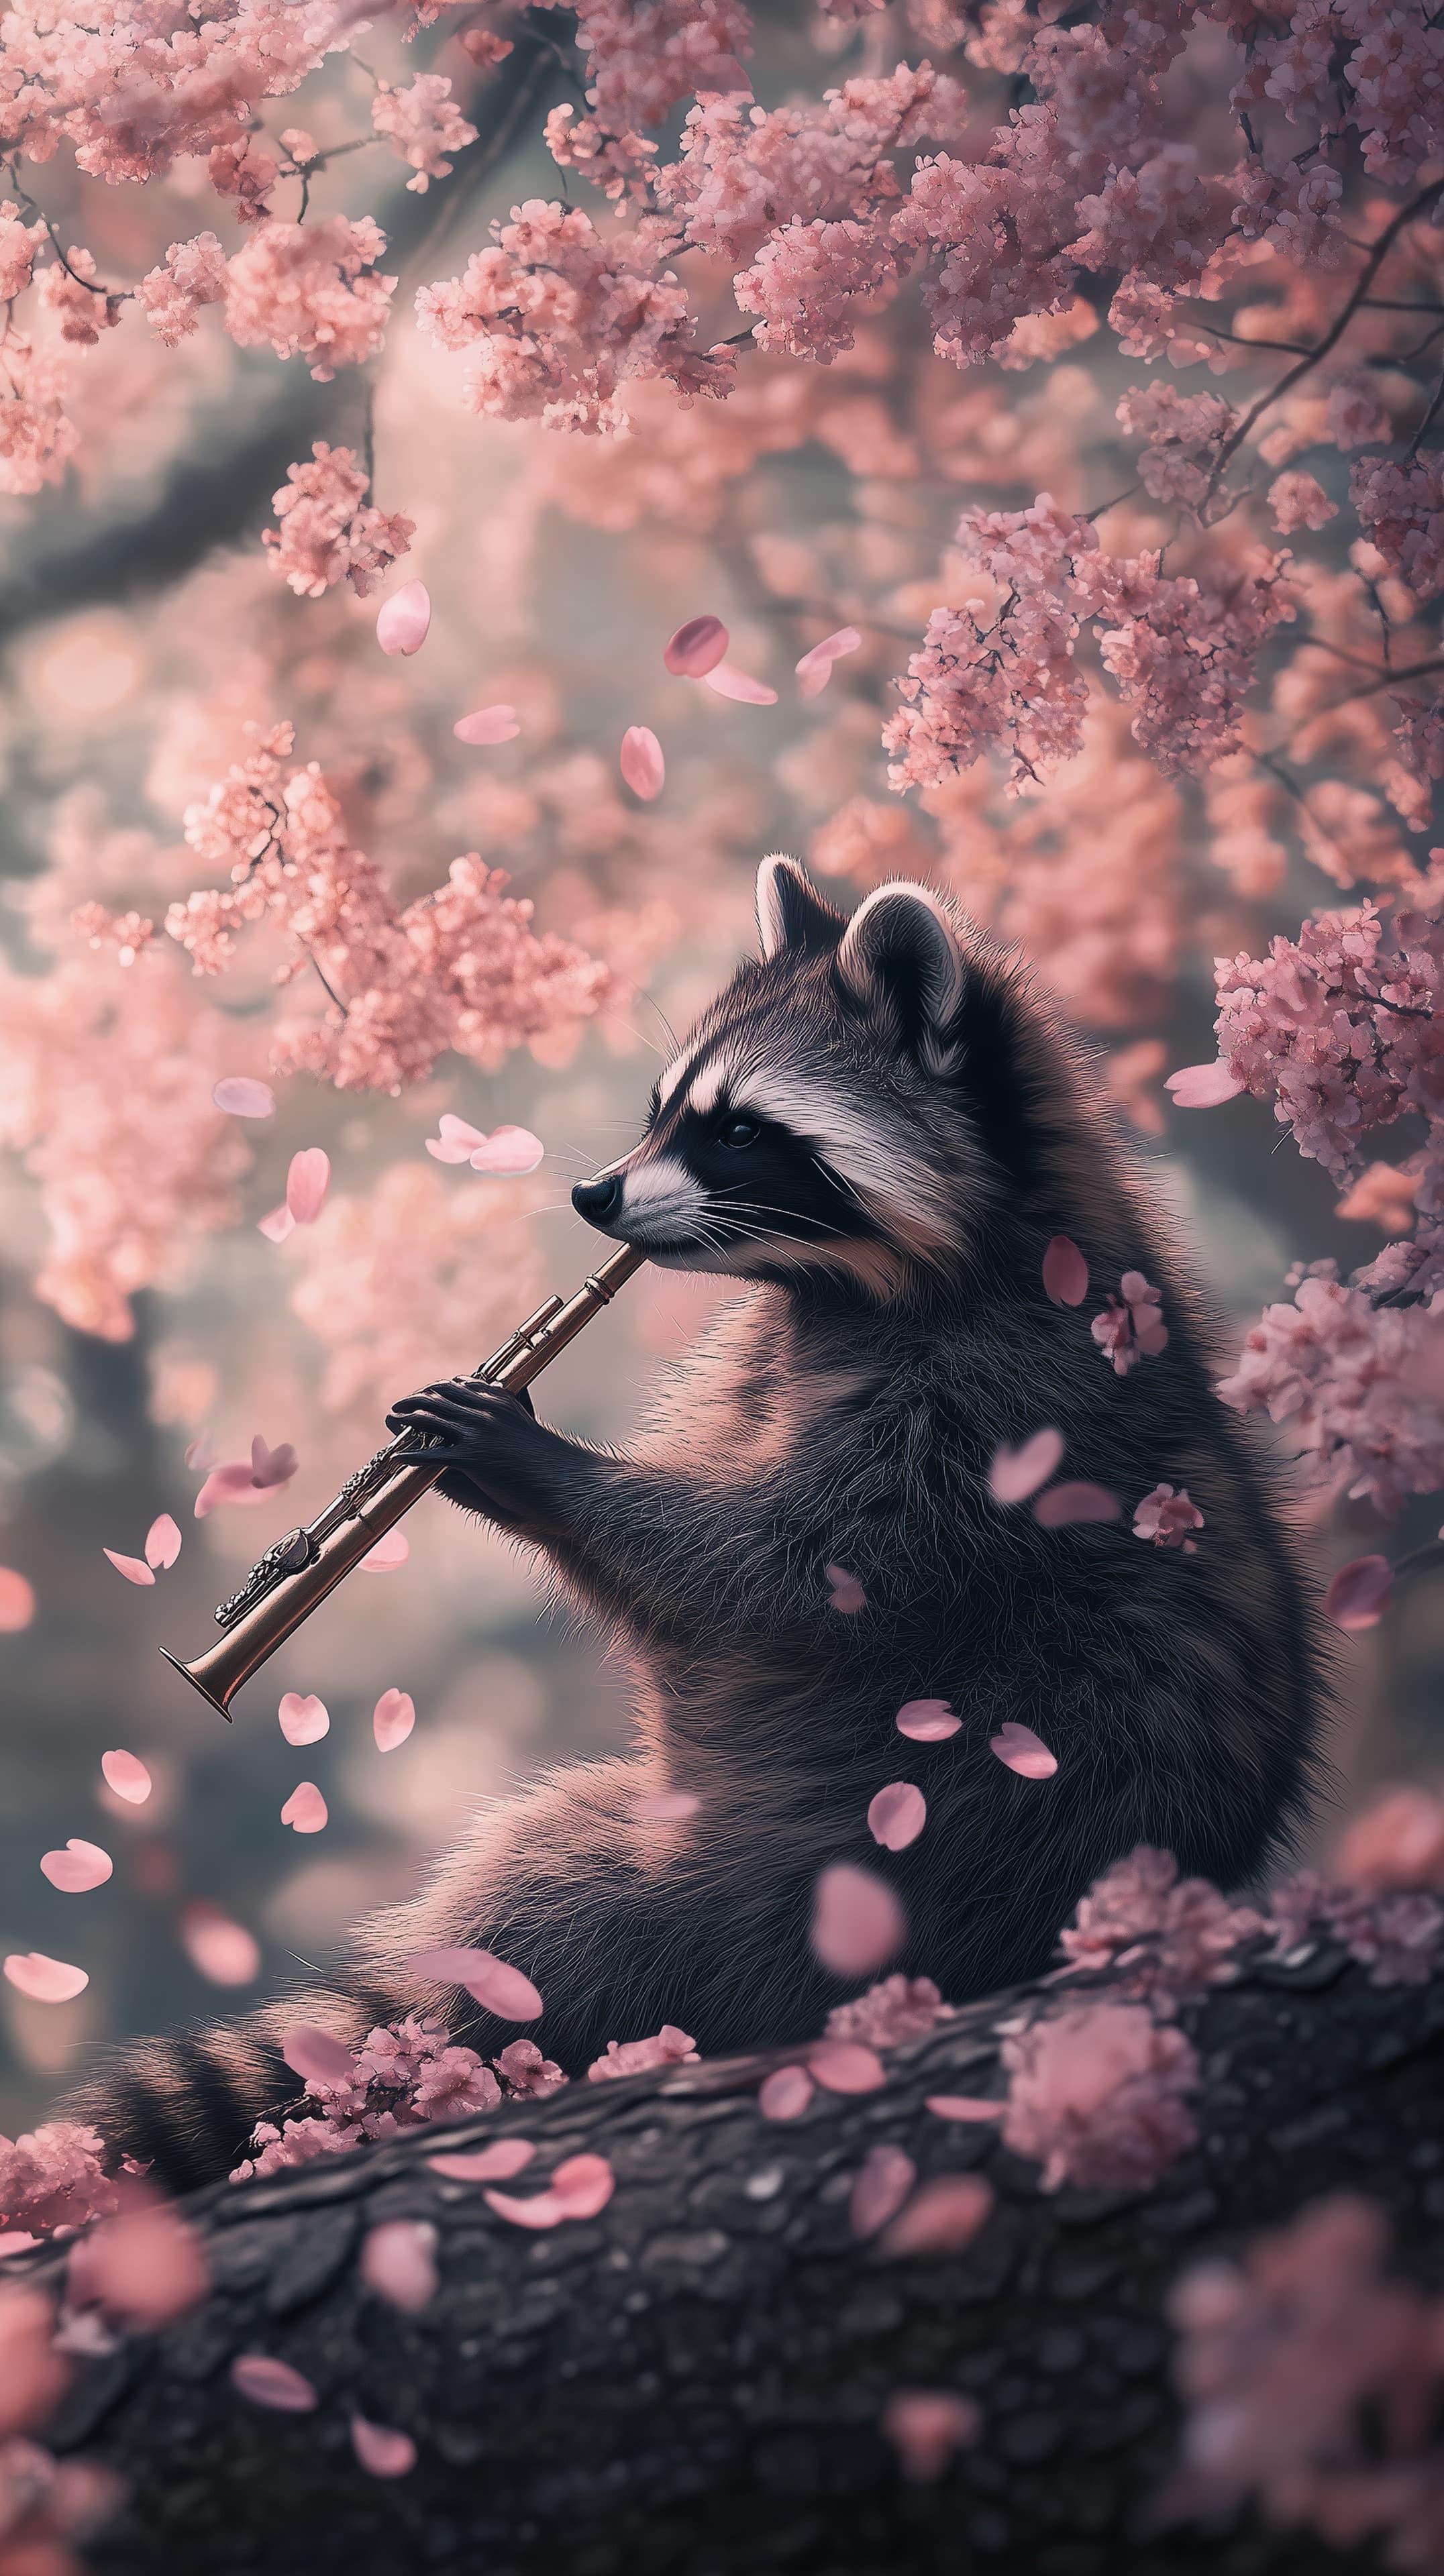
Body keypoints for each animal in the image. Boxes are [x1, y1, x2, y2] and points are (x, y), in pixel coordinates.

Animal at [65, 860, 1322, 2189]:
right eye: (662, 1109)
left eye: (739, 1129)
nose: (590, 1196)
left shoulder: (1001, 1404)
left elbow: (787, 1573)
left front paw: (529, 1462)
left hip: (782, 1884)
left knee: (544, 1881)